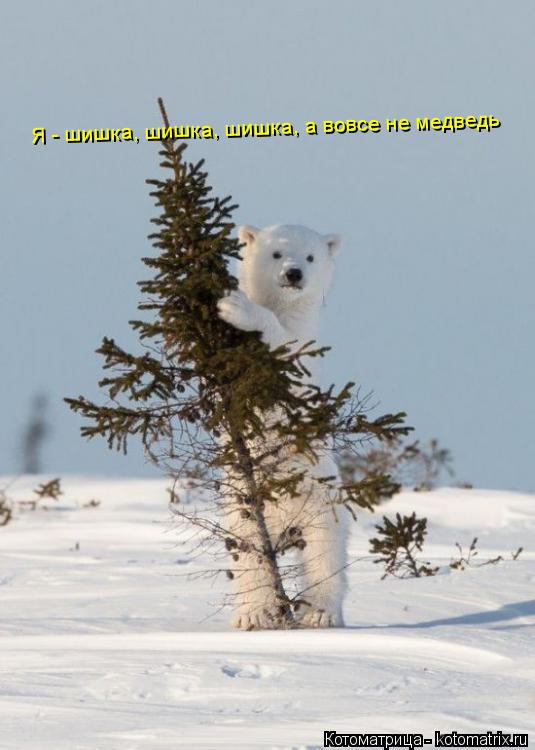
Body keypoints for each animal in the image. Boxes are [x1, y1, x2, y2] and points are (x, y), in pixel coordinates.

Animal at [217, 224, 349, 629]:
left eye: (310, 257)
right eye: (275, 253)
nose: (293, 274)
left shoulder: (306, 357)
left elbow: (288, 359)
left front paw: (236, 307)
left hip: (322, 503)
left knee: (324, 556)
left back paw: (319, 612)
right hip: (241, 508)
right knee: (248, 555)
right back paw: (253, 613)